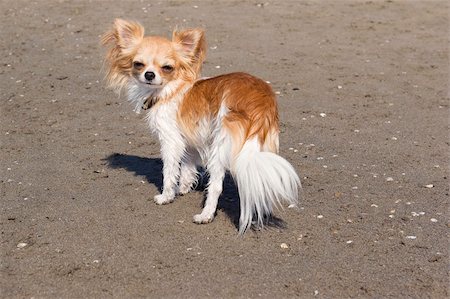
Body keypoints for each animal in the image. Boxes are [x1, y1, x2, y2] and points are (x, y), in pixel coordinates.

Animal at [101, 19, 298, 234]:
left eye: (167, 68)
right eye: (138, 64)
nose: (149, 74)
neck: (170, 89)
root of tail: (259, 101)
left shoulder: (171, 140)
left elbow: (169, 171)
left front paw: (167, 195)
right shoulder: (191, 140)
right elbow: (187, 166)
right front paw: (183, 188)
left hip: (220, 148)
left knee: (216, 186)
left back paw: (206, 215)